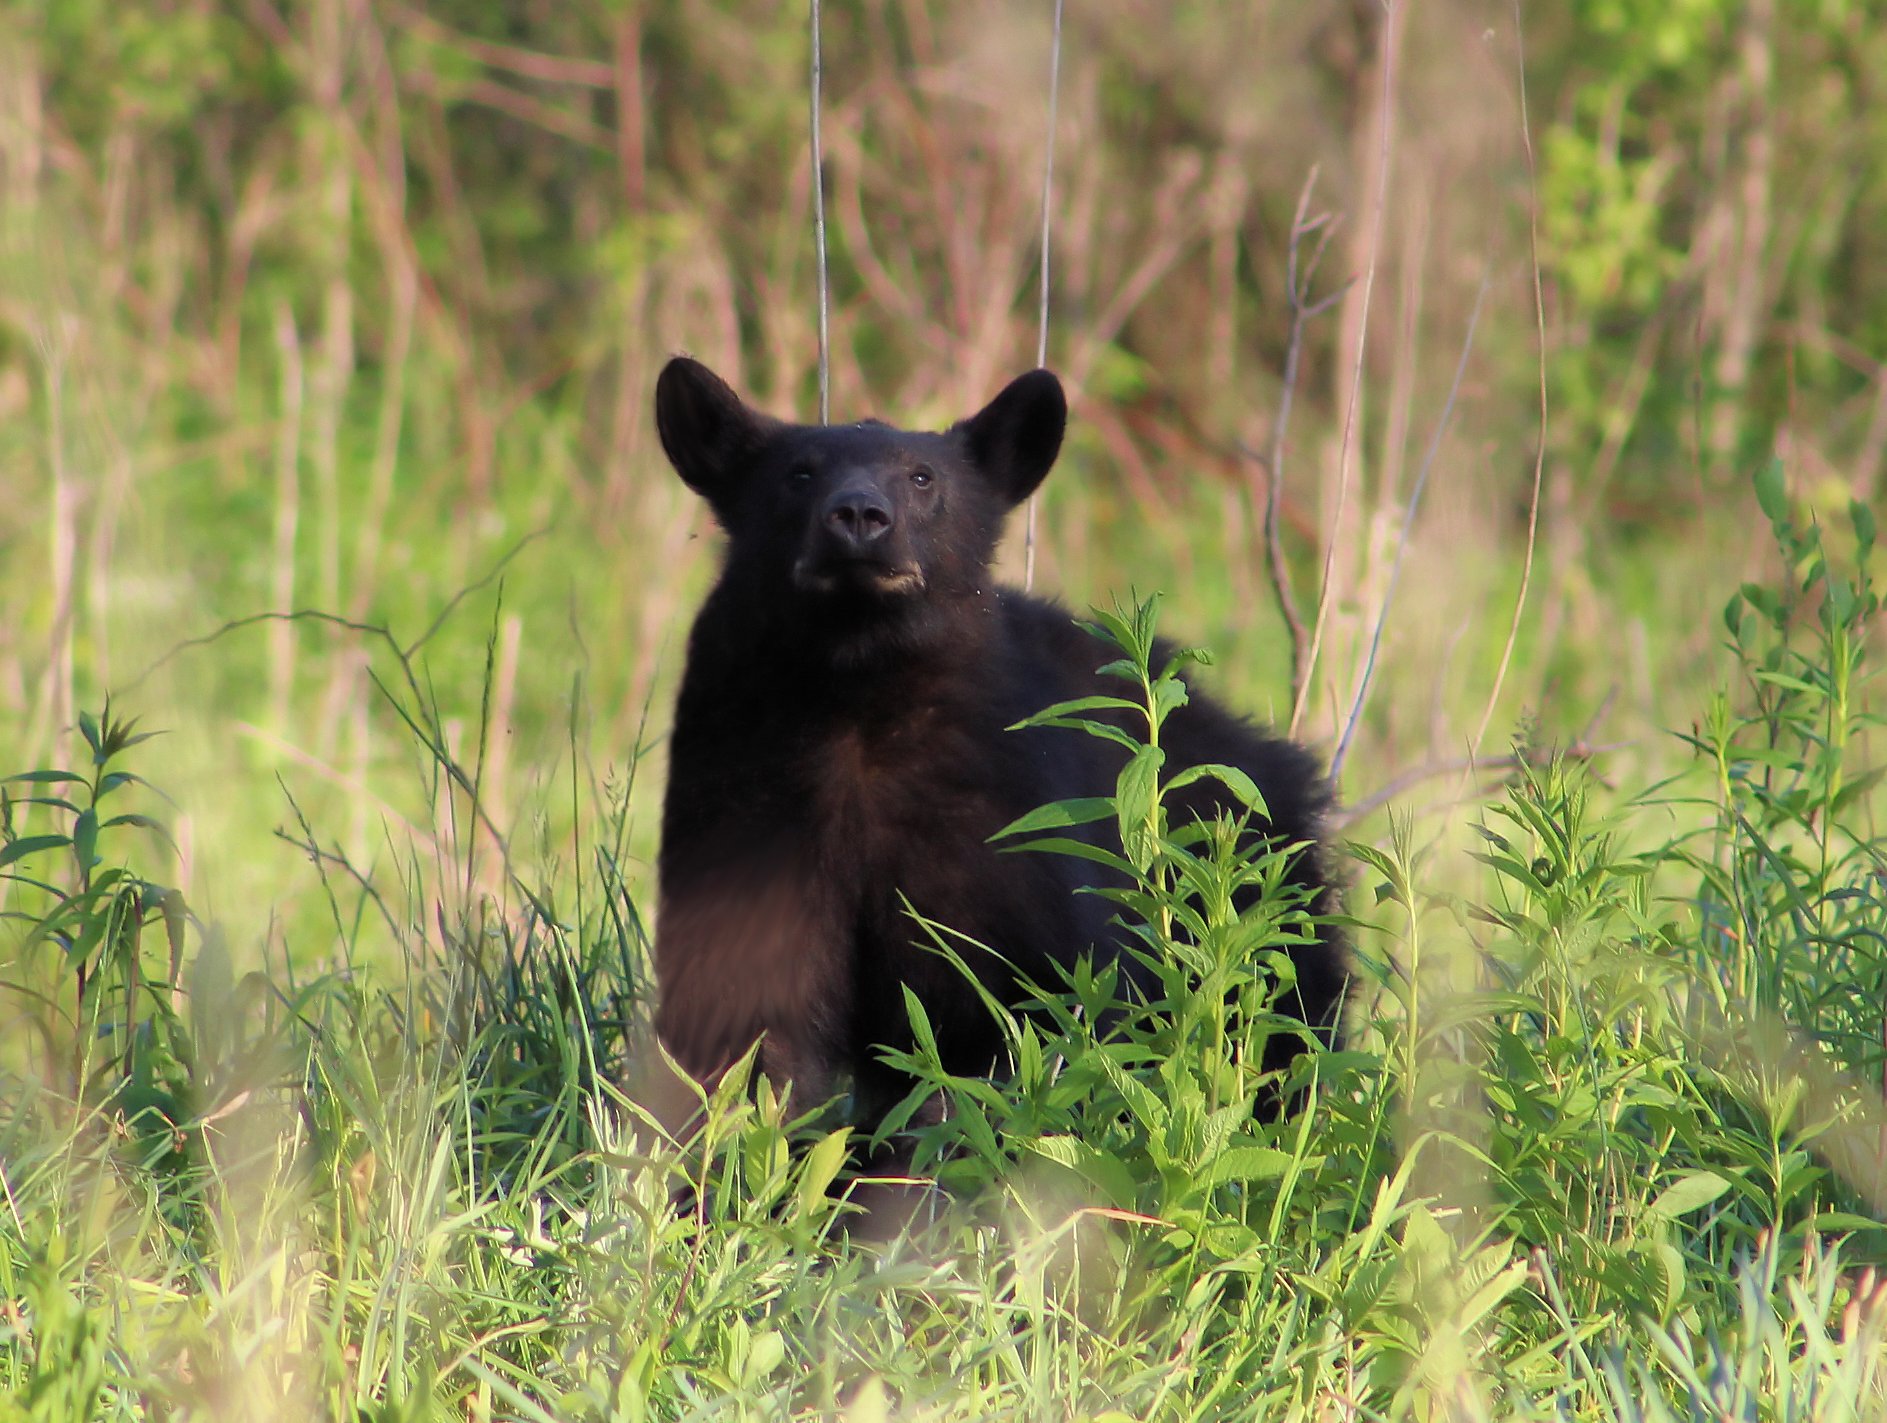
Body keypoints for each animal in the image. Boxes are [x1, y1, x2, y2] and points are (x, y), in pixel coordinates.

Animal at [645, 355, 1347, 1203]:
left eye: (921, 477)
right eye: (798, 472)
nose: (859, 516)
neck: (857, 694)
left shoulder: (995, 821)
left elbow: (1010, 1017)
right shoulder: (742, 793)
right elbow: (745, 1026)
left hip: (1266, 909)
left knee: (1283, 1036)